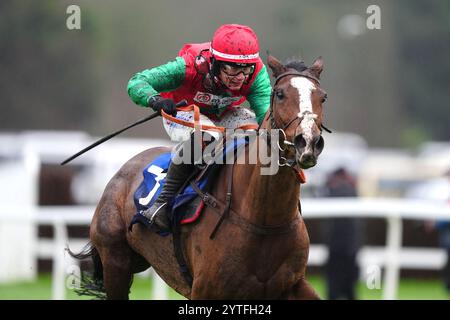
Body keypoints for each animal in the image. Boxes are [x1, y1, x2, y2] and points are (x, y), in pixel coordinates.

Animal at [72, 53, 328, 298]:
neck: (265, 218)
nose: (308, 142)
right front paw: (161, 101)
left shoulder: (293, 284)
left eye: (323, 97)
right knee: (202, 136)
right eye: (281, 94)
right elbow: (141, 79)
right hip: (116, 262)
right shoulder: (206, 289)